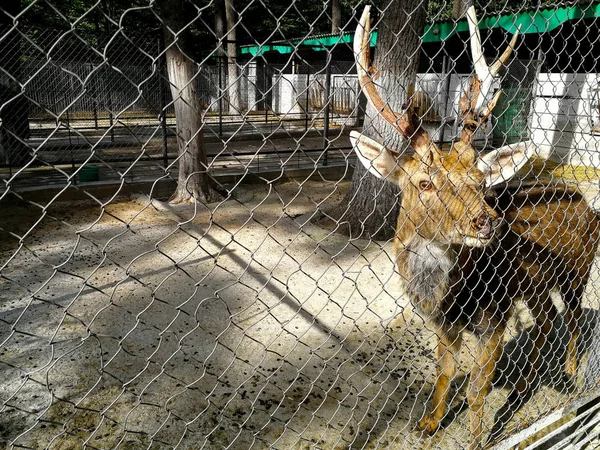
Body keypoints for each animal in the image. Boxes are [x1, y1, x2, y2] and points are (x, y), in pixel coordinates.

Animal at [352, 4, 600, 450]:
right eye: (424, 182)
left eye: (480, 181)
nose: (487, 221)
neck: (454, 297)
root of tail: (587, 203)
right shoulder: (444, 324)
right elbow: (445, 373)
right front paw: (429, 423)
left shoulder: (495, 318)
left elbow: (477, 388)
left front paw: (477, 438)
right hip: (535, 286)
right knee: (546, 320)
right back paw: (526, 383)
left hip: (579, 269)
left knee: (571, 318)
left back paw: (571, 372)